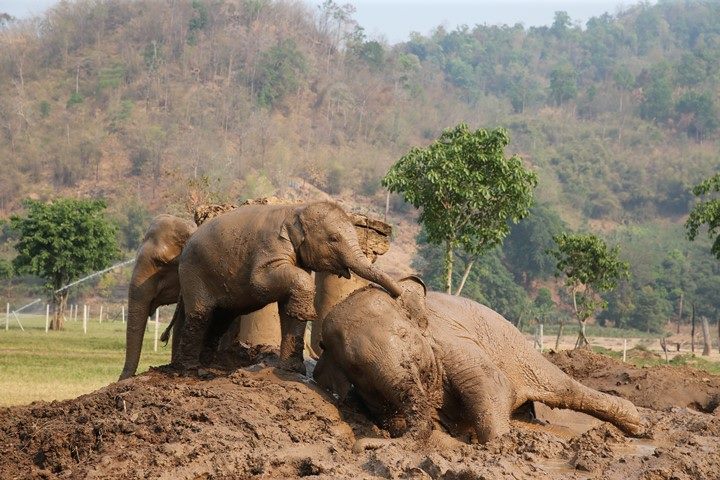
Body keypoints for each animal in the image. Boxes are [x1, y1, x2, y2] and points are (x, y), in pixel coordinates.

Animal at [172, 201, 402, 374]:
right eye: (334, 238)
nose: (396, 295)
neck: (297, 209)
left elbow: (288, 307)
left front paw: (292, 369)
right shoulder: (270, 246)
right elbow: (259, 282)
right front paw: (305, 312)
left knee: (221, 318)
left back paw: (207, 364)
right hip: (193, 272)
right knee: (201, 314)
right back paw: (190, 368)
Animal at [314, 278, 640, 442]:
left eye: (404, 335)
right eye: (357, 368)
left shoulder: (452, 343)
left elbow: (491, 384)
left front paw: (498, 444)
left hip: (512, 343)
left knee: (562, 387)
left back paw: (637, 425)